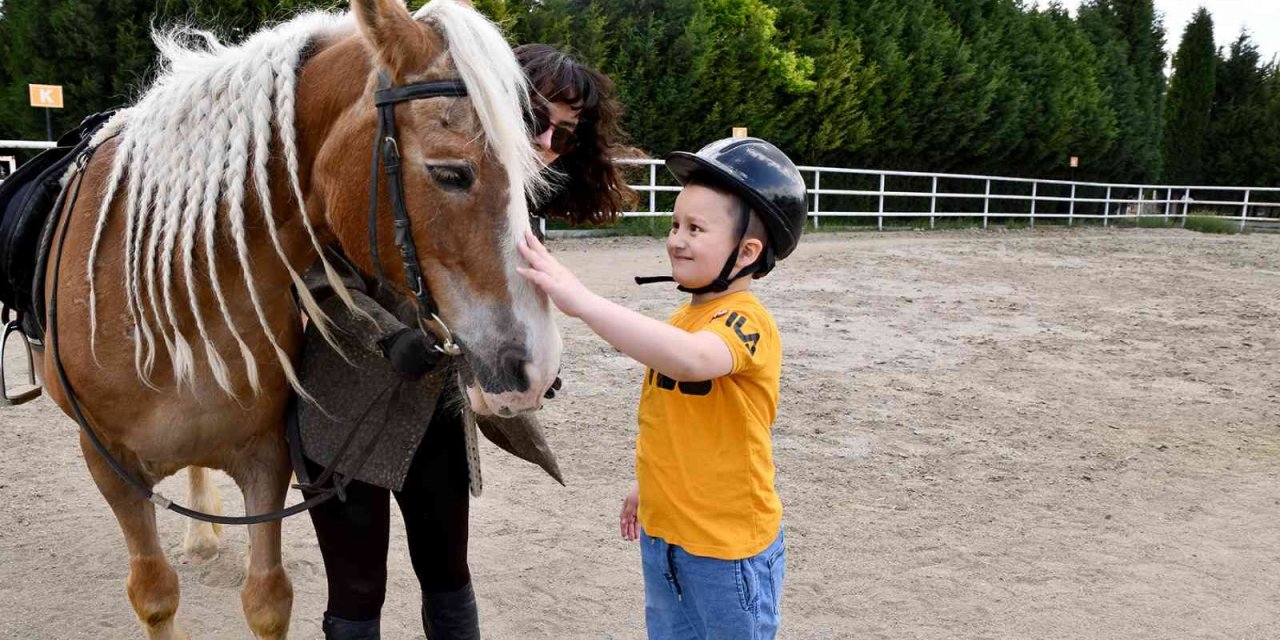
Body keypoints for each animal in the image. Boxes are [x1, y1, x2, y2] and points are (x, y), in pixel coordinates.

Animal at [30, 2, 558, 637]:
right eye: (452, 172)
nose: (539, 368)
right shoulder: (108, 464)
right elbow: (154, 594)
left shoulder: (266, 454)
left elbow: (268, 599)